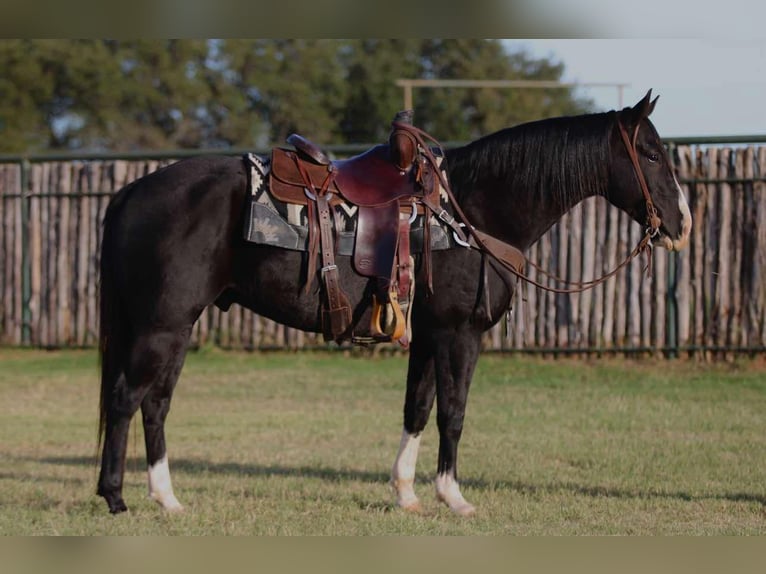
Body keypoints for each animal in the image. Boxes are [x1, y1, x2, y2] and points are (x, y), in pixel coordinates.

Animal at [96, 90, 692, 515]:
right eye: (650, 152)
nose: (682, 223)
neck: (472, 212)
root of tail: (133, 191)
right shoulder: (458, 334)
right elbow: (453, 411)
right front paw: (453, 496)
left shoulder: (426, 335)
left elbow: (418, 408)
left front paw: (406, 492)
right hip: (162, 326)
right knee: (127, 399)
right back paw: (116, 497)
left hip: (177, 327)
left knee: (156, 404)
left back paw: (167, 498)